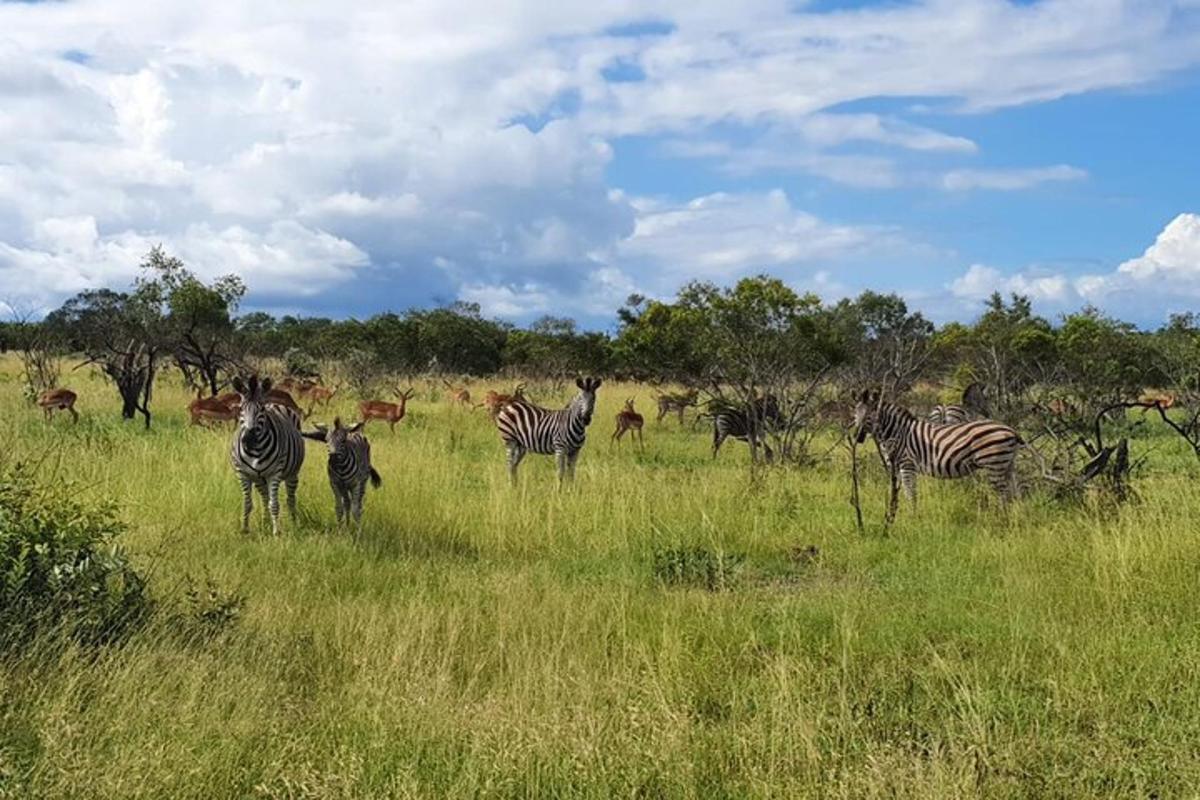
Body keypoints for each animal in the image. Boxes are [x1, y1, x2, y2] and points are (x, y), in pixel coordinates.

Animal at [229, 376, 304, 537]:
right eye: (241, 409)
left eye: (261, 410)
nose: (248, 440)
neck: (256, 450)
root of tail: (275, 404)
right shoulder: (243, 474)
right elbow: (247, 503)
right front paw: (244, 529)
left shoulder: (274, 473)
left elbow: (274, 504)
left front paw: (276, 532)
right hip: (259, 479)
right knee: (265, 498)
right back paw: (265, 523)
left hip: (292, 474)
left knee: (290, 498)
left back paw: (294, 523)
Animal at [854, 388, 1022, 506]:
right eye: (855, 414)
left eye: (868, 416)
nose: (857, 437)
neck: (898, 433)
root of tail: (1011, 430)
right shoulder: (897, 468)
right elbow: (899, 494)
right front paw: (899, 515)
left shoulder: (907, 465)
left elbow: (911, 494)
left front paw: (912, 517)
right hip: (1007, 465)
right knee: (1012, 494)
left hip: (994, 465)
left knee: (1003, 495)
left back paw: (1001, 519)